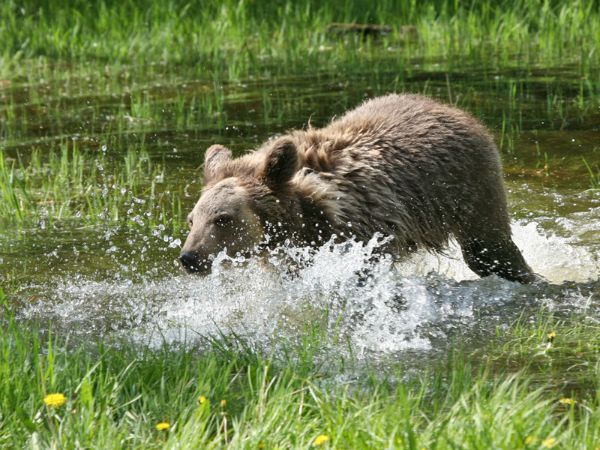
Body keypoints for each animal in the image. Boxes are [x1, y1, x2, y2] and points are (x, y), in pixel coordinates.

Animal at [178, 93, 536, 284]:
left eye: (223, 218)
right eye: (192, 219)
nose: (189, 257)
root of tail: (453, 109)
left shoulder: (365, 232)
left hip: (468, 188)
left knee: (490, 250)